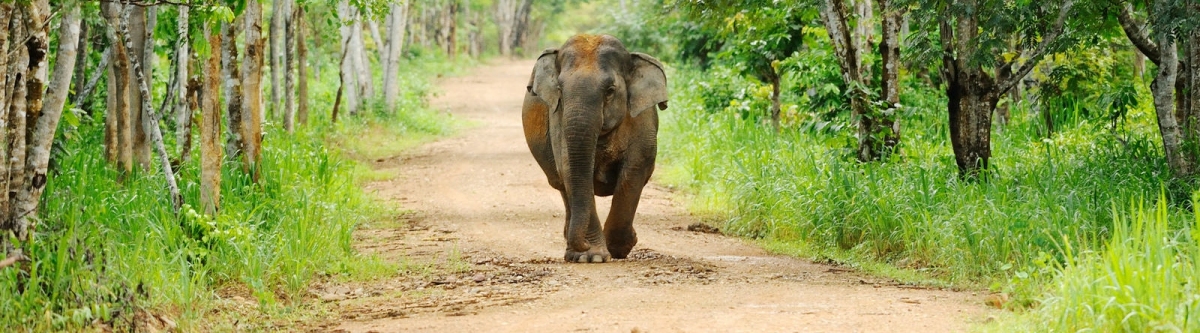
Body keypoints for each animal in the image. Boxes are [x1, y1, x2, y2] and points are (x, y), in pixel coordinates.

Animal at [520, 33, 672, 262]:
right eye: (560, 90)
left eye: (610, 91)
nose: (582, 244)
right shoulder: (558, 119)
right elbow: (571, 170)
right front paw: (590, 256)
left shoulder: (642, 121)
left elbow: (634, 171)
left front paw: (618, 249)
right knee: (563, 186)